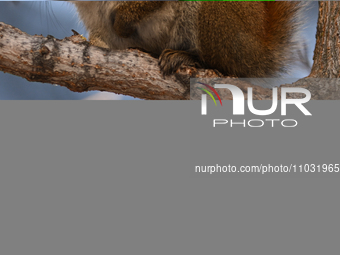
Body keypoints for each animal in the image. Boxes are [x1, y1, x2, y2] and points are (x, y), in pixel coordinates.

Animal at [73, 0, 304, 77]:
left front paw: (122, 21)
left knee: (220, 65)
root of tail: (260, 53)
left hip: (214, 21)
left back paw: (184, 57)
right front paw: (88, 42)